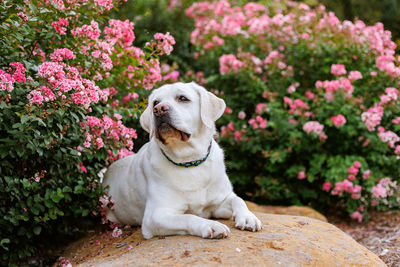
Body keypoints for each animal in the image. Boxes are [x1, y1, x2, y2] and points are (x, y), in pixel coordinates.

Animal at [101, 82, 260, 240]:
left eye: (183, 98)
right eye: (155, 102)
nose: (158, 109)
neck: (189, 161)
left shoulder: (220, 201)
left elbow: (238, 199)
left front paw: (248, 217)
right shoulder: (155, 216)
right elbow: (189, 217)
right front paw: (212, 225)